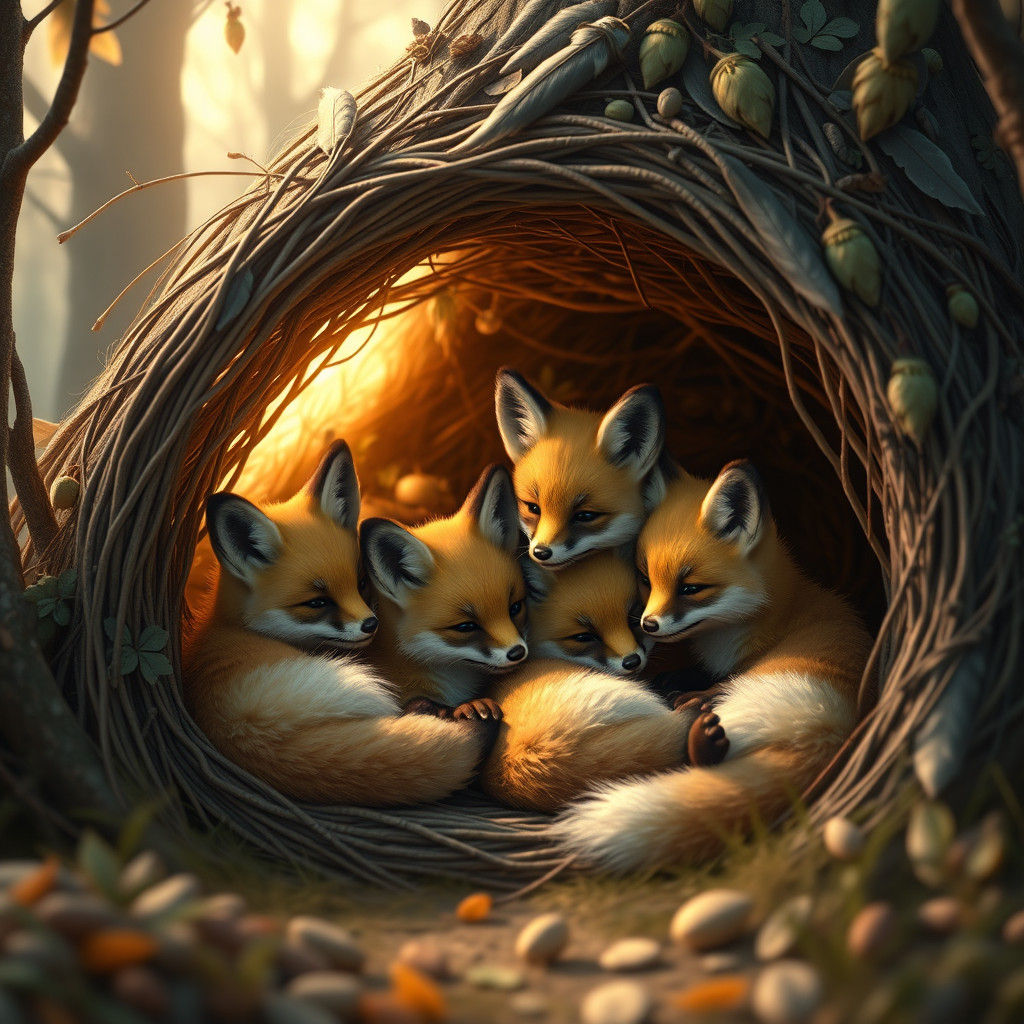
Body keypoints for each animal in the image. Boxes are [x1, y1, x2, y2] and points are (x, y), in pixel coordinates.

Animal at [555, 460, 871, 871]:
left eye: (691, 588)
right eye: (645, 578)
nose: (648, 624)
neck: (769, 618)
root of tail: (829, 727)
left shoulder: (737, 668)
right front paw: (673, 679)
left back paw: (697, 728)